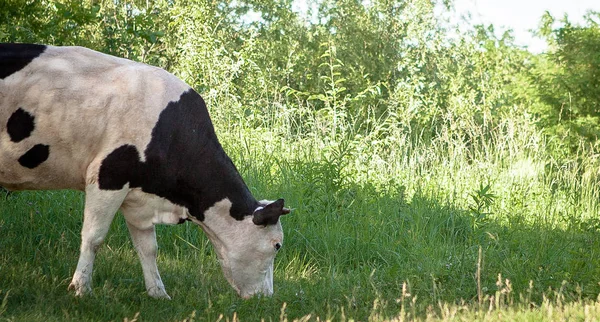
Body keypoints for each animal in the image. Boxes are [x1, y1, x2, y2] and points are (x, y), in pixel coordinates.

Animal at [0, 43, 290, 300]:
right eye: (277, 245)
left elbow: (148, 248)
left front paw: (158, 293)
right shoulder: (108, 177)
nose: (267, 297)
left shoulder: (137, 198)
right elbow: (93, 237)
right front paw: (81, 289)